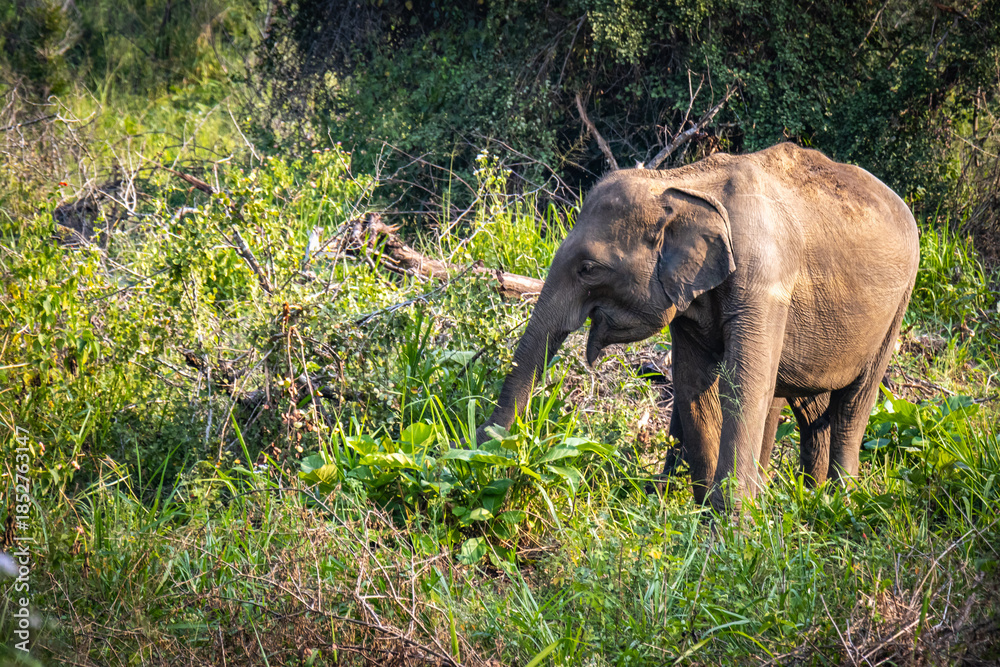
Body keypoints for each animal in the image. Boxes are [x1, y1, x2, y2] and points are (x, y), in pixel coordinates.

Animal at [476, 143, 920, 513]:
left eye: (588, 268)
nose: (483, 451)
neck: (680, 182)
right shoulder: (689, 303)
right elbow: (693, 386)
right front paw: (706, 515)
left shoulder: (766, 282)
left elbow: (743, 387)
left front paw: (732, 529)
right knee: (807, 404)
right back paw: (809, 498)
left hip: (899, 305)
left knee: (853, 404)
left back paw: (841, 501)